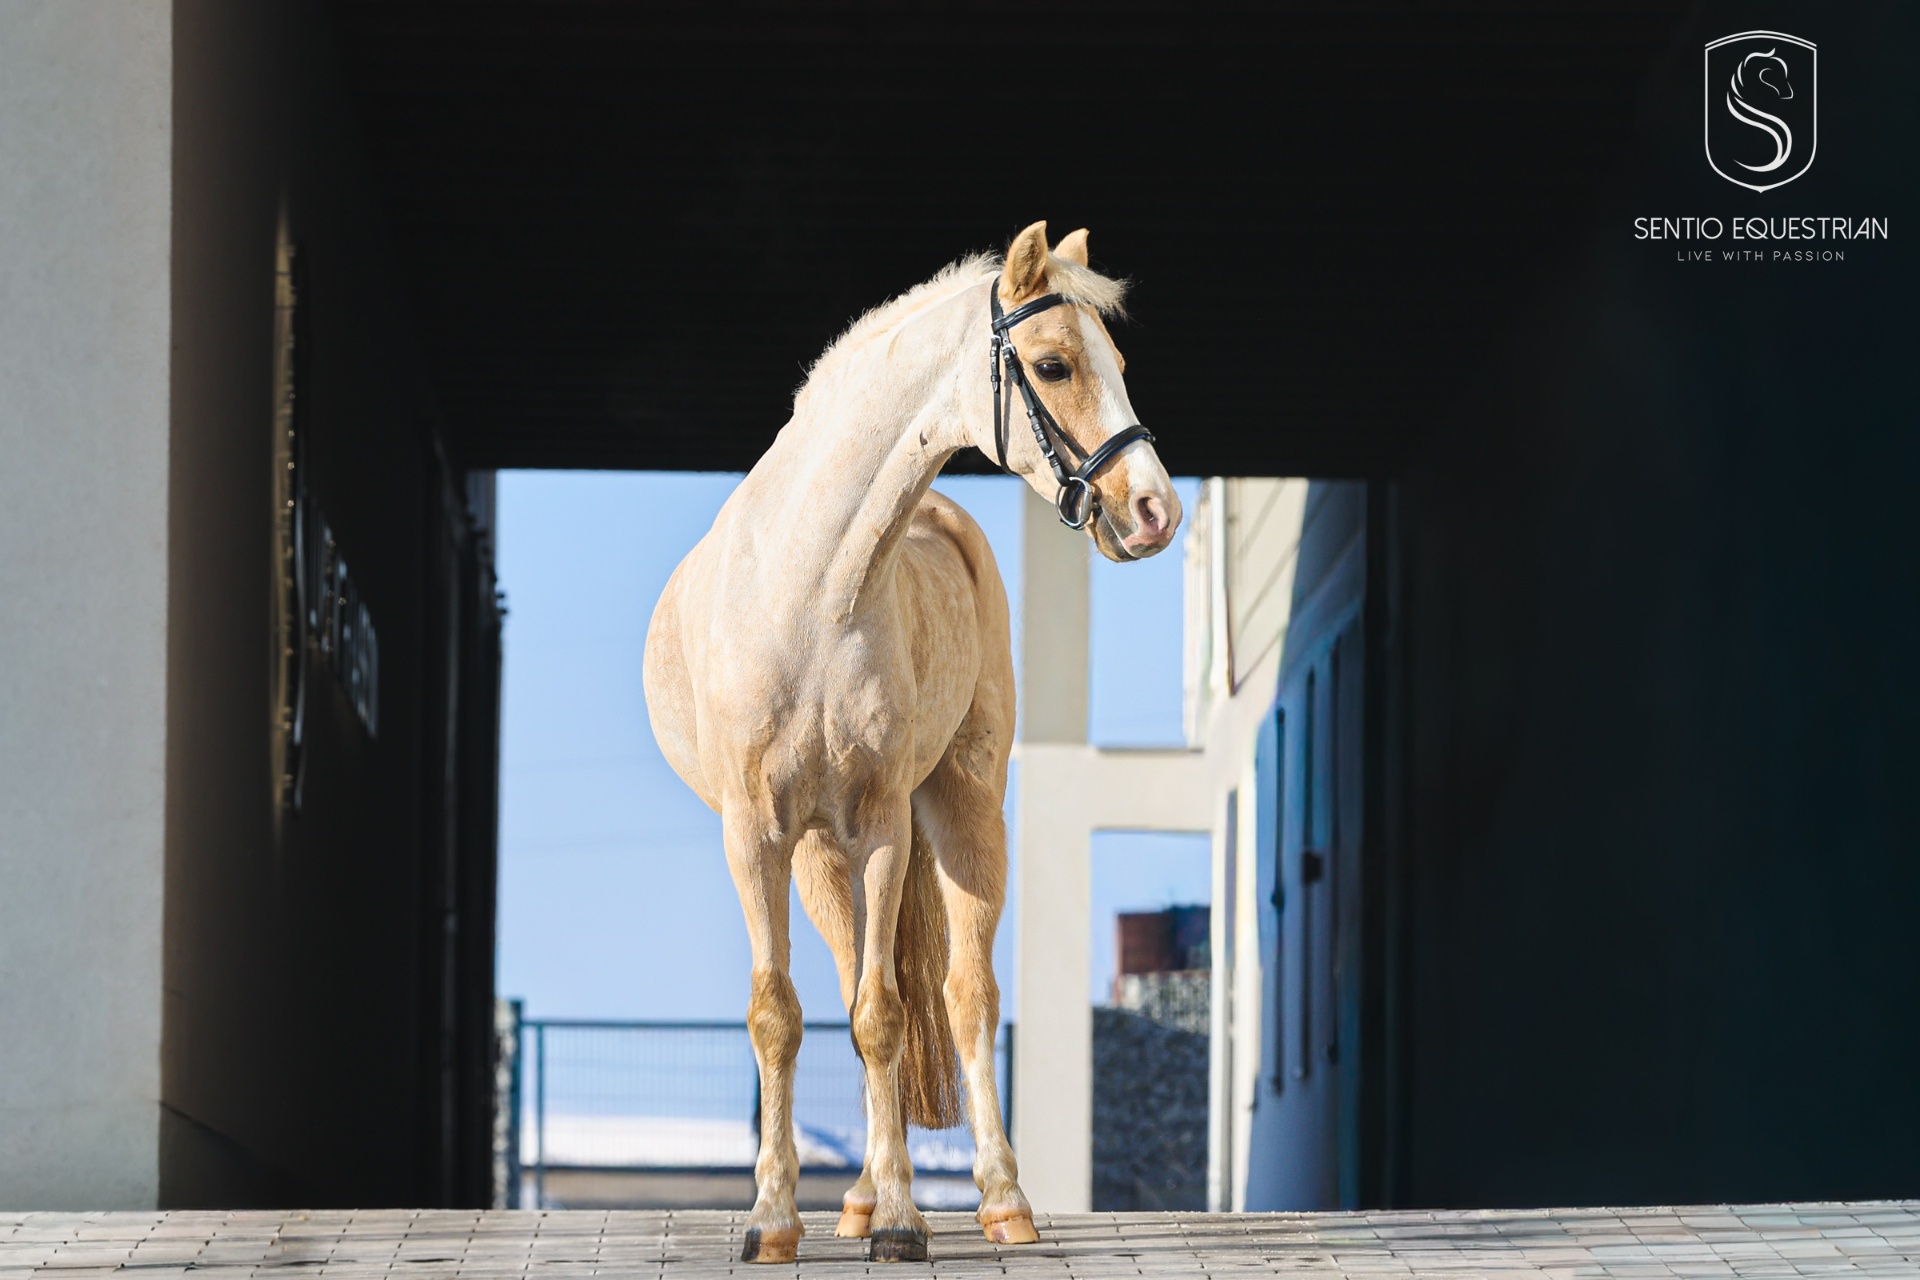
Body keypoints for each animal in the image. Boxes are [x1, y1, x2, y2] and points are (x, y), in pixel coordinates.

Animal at [642, 221, 1181, 1263]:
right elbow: (783, 1015)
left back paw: (999, 1200)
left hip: (963, 812)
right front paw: (774, 1221)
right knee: (854, 977)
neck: (811, 591)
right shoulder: (757, 834)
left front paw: (899, 1220)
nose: (1156, 512)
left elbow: (887, 1014)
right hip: (819, 857)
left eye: (1122, 365)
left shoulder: (885, 822)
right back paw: (849, 1200)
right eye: (1054, 364)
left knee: (964, 994)